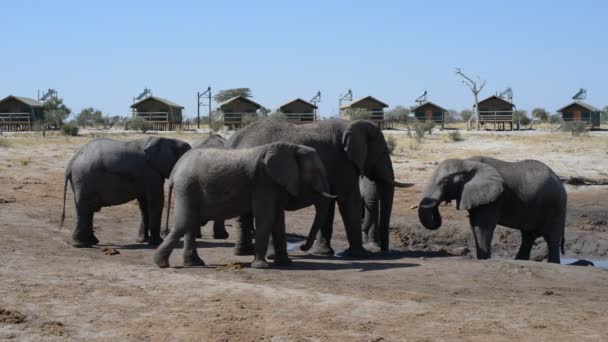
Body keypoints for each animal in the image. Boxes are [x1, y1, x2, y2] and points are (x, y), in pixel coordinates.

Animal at [60, 136, 190, 246]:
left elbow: (144, 205)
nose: (166, 231)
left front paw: (143, 241)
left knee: (86, 210)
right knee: (85, 208)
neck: (166, 139)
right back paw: (82, 244)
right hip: (84, 179)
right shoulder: (151, 173)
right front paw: (157, 243)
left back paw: (92, 242)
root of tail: (71, 162)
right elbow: (156, 202)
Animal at [154, 142, 334, 270]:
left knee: (189, 224)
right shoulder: (263, 182)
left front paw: (285, 263)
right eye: (316, 171)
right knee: (184, 223)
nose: (303, 247)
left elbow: (278, 221)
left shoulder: (276, 185)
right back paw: (161, 263)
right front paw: (262, 267)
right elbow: (266, 218)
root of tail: (174, 171)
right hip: (187, 188)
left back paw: (194, 264)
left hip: (189, 189)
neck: (292, 147)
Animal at [228, 119, 414, 255]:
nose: (386, 251)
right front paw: (359, 255)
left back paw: (243, 252)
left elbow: (330, 202)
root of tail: (232, 141)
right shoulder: (342, 161)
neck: (352, 124)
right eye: (383, 153)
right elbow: (347, 199)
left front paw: (324, 253)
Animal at [416, 156, 568, 264]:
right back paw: (520, 260)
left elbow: (482, 226)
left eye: (445, 182)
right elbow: (473, 225)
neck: (466, 163)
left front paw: (484, 259)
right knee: (528, 236)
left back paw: (553, 263)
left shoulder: (494, 199)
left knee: (551, 238)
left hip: (557, 206)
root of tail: (559, 180)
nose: (440, 204)